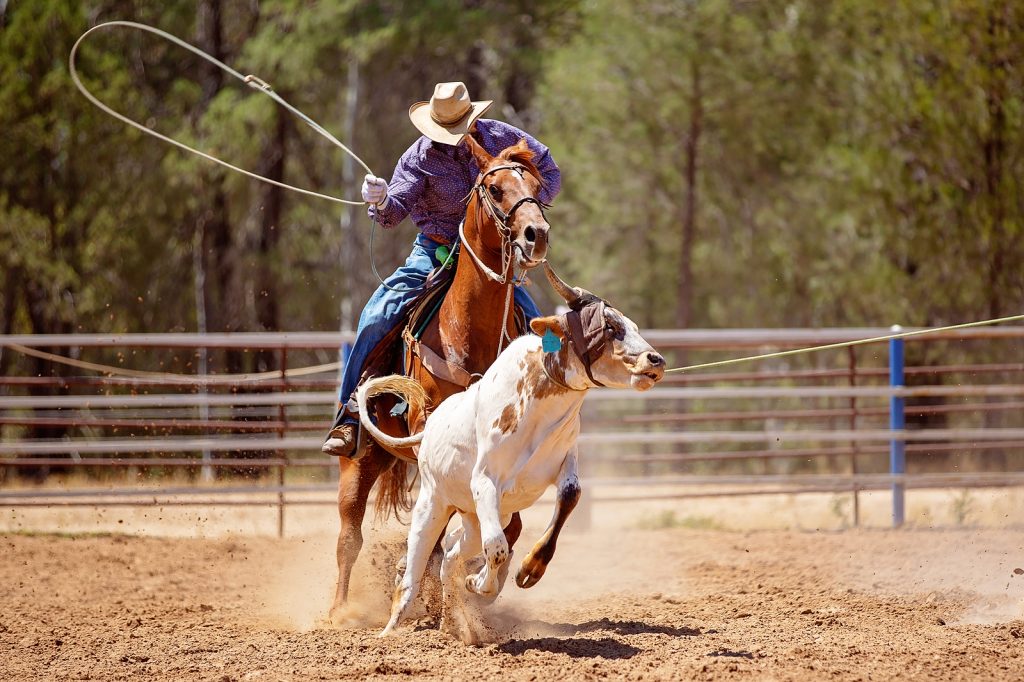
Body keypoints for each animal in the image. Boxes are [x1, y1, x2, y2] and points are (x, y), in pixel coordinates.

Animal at [356, 262, 667, 638]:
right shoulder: (485, 482)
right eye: (609, 326)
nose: (656, 360)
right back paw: (389, 631)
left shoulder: (565, 464)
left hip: (474, 517)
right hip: (433, 505)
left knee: (451, 556)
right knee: (414, 572)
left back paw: (453, 624)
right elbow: (498, 547)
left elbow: (570, 496)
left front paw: (529, 569)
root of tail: (428, 430)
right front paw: (481, 584)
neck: (535, 405)